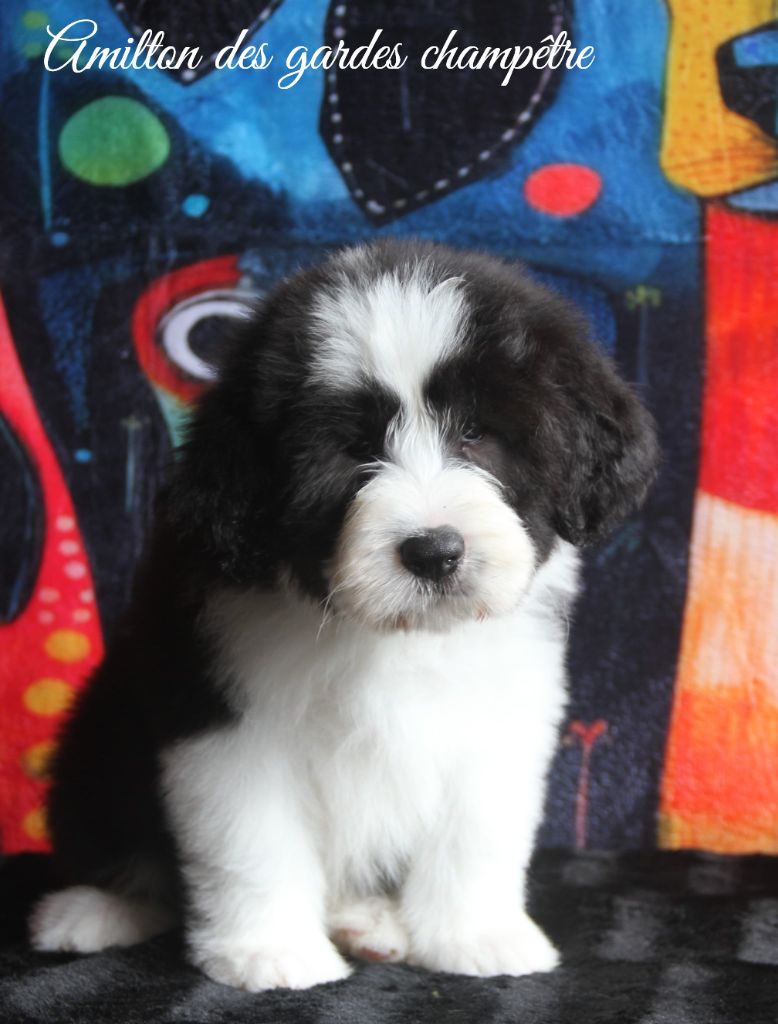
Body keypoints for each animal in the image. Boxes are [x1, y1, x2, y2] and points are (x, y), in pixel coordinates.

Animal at [29, 239, 658, 990]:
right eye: (355, 448)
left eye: (477, 433)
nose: (434, 551)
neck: (392, 635)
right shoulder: (223, 712)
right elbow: (252, 832)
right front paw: (269, 952)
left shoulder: (501, 710)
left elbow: (477, 829)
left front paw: (475, 936)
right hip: (100, 729)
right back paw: (95, 910)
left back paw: (370, 921)